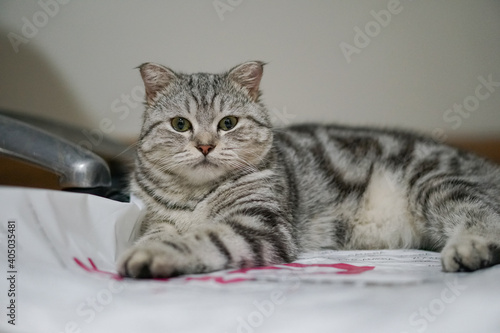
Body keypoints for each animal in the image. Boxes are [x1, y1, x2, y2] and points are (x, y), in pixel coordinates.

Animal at [118, 60, 500, 278]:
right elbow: (160, 233)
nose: (205, 145)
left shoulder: (260, 224)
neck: (195, 196)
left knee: (484, 215)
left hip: (436, 183)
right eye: (180, 124)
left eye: (228, 123)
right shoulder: (156, 220)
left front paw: (153, 255)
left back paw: (470, 249)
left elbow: (205, 236)